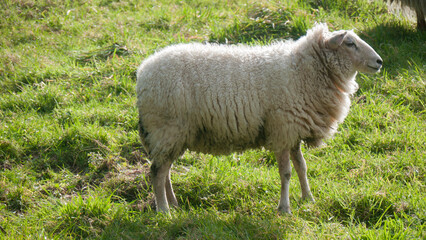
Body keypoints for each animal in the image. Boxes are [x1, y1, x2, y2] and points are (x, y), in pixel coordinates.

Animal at [136, 22, 382, 214]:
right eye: (349, 43)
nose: (379, 61)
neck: (304, 71)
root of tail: (143, 73)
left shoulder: (294, 130)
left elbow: (301, 167)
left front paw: (308, 199)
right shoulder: (282, 129)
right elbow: (286, 172)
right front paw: (285, 208)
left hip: (174, 134)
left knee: (165, 170)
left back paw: (173, 204)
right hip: (167, 128)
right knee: (157, 171)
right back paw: (164, 211)